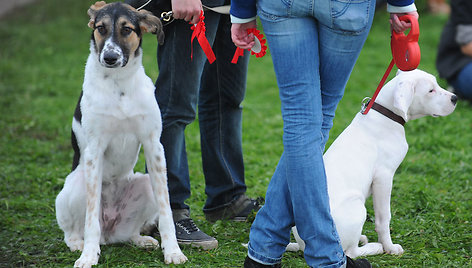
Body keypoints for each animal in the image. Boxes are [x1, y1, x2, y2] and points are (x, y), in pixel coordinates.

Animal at [54, 1, 186, 266]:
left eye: (127, 29)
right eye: (100, 28)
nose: (110, 57)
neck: (119, 84)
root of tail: (109, 233)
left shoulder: (154, 146)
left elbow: (167, 211)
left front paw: (173, 251)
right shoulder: (95, 150)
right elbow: (90, 218)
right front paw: (88, 256)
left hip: (145, 183)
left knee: (129, 232)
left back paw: (140, 239)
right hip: (75, 186)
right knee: (73, 230)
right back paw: (79, 244)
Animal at [288, 69, 458, 258]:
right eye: (430, 91)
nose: (455, 98)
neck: (387, 114)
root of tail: (305, 245)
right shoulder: (384, 177)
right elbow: (384, 218)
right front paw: (390, 247)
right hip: (358, 208)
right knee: (351, 253)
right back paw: (375, 247)